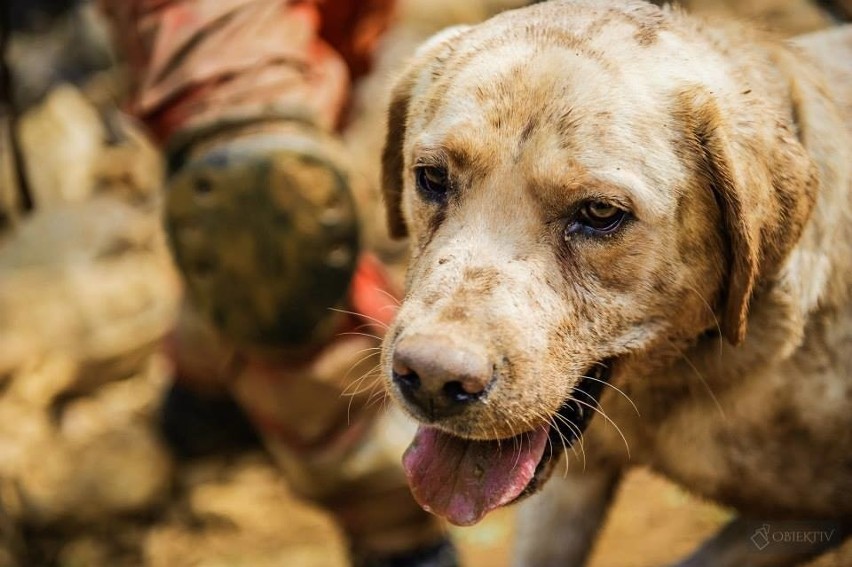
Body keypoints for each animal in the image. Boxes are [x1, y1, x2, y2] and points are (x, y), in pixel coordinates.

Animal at [380, 2, 852, 564]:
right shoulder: (569, 486)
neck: (672, 383)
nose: (431, 377)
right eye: (431, 178)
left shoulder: (800, 520)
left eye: (600, 213)